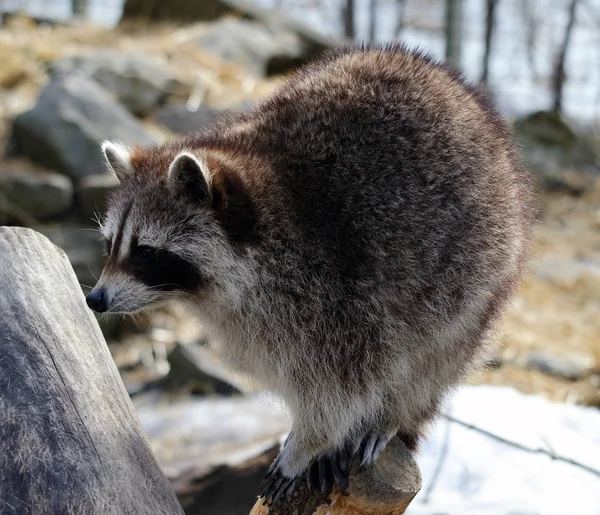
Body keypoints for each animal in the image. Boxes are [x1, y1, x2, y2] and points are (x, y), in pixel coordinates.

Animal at [86, 45, 536, 504]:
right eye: (110, 245)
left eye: (145, 252)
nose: (95, 299)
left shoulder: (339, 297)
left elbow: (340, 389)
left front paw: (310, 442)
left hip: (478, 271)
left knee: (436, 355)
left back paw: (393, 414)